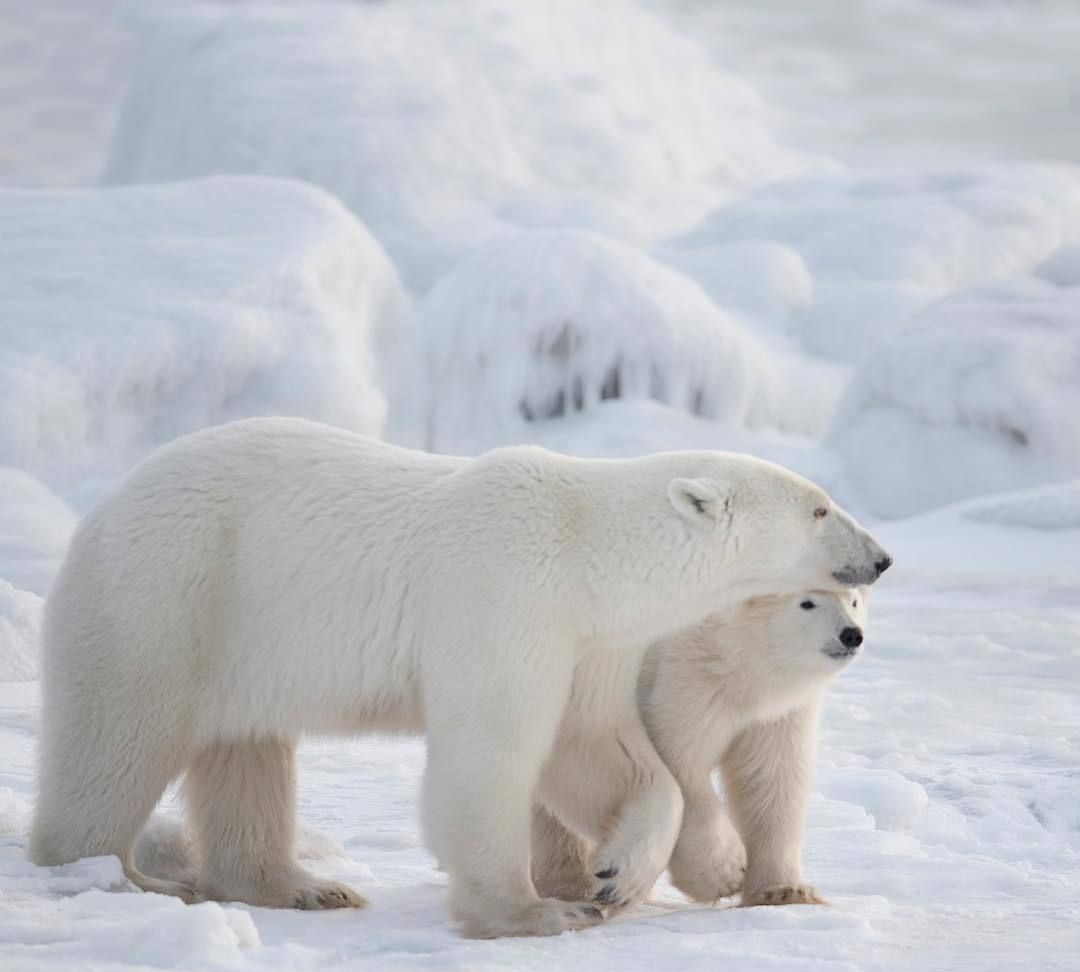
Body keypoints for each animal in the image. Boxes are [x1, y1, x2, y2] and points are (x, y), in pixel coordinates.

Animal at [530, 588, 869, 912]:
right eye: (807, 603)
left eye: (853, 601)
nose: (851, 634)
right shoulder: (685, 680)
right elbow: (679, 765)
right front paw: (724, 873)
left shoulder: (777, 716)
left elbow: (772, 780)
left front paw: (785, 892)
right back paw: (576, 884)